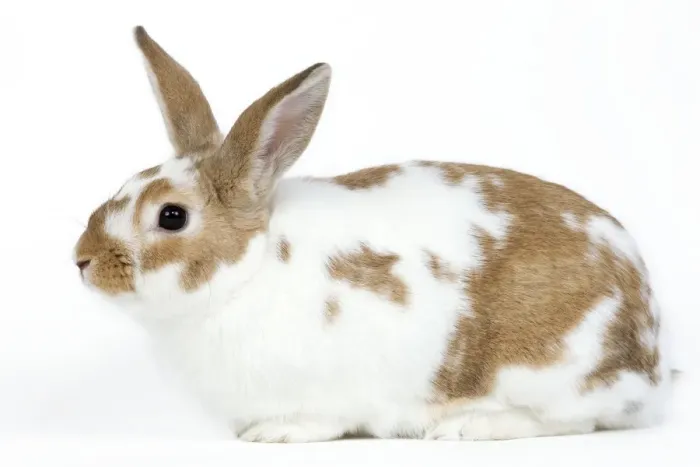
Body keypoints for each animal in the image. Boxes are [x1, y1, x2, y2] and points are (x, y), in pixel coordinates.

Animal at [73, 26, 676, 443]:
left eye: (171, 216)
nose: (82, 260)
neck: (247, 274)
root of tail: (650, 349)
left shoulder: (330, 386)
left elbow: (317, 418)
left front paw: (274, 433)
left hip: (547, 372)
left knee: (573, 421)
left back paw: (469, 427)